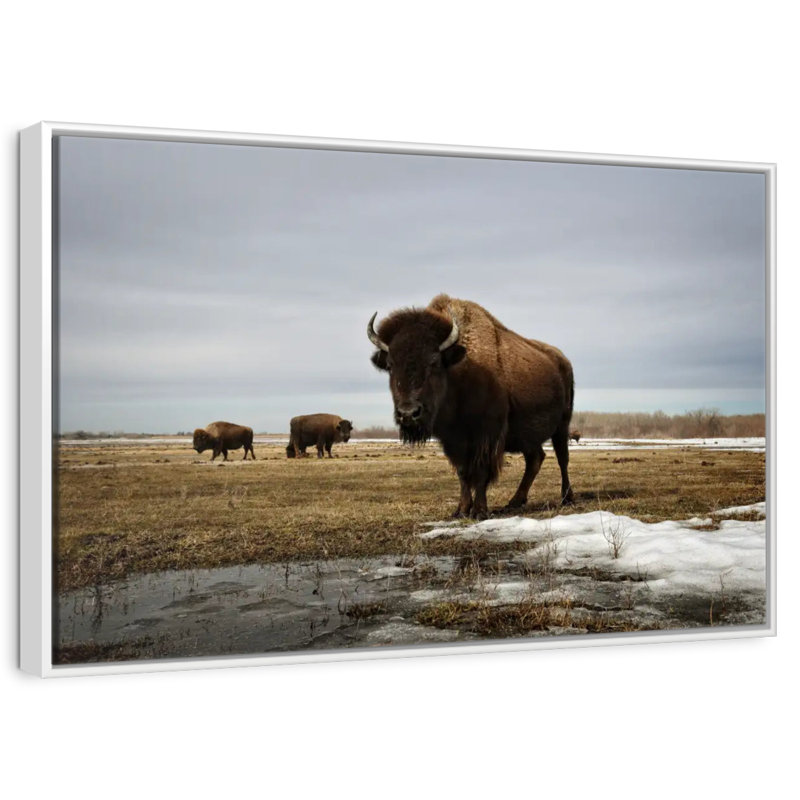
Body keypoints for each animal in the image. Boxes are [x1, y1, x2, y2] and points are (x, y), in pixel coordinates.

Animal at [368, 294, 574, 519]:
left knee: (562, 458)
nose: (407, 413)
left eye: (434, 362)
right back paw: (514, 502)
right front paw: (461, 510)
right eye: (390, 365)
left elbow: (481, 472)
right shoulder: (453, 440)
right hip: (528, 436)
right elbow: (463, 473)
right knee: (535, 459)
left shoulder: (486, 435)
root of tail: (563, 361)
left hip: (562, 425)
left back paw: (567, 498)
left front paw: (479, 511)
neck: (459, 371)